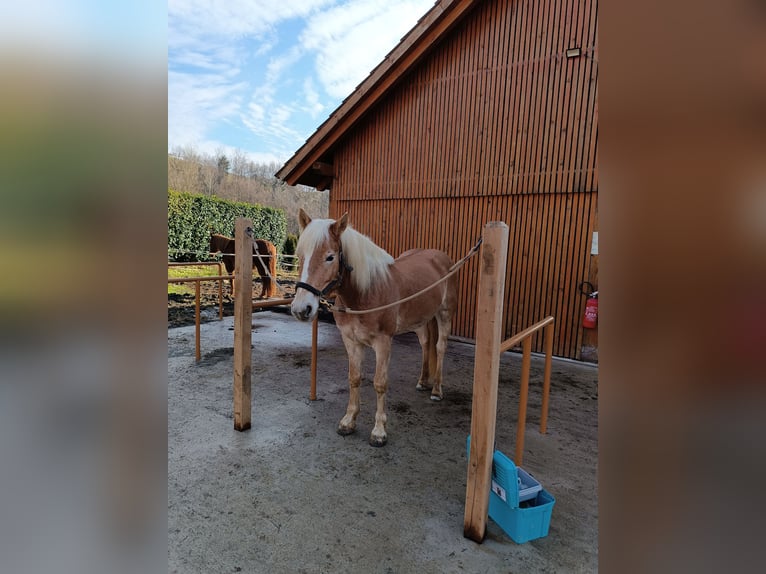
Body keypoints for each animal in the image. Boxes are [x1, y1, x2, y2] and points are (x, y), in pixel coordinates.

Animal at [288, 209, 456, 448]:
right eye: (300, 255)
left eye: (330, 257)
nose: (301, 309)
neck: (367, 292)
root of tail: (442, 259)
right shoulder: (351, 341)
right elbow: (354, 378)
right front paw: (348, 421)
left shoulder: (383, 343)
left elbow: (379, 383)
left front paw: (379, 431)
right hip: (421, 320)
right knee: (425, 344)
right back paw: (423, 382)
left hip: (444, 314)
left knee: (440, 347)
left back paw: (436, 390)